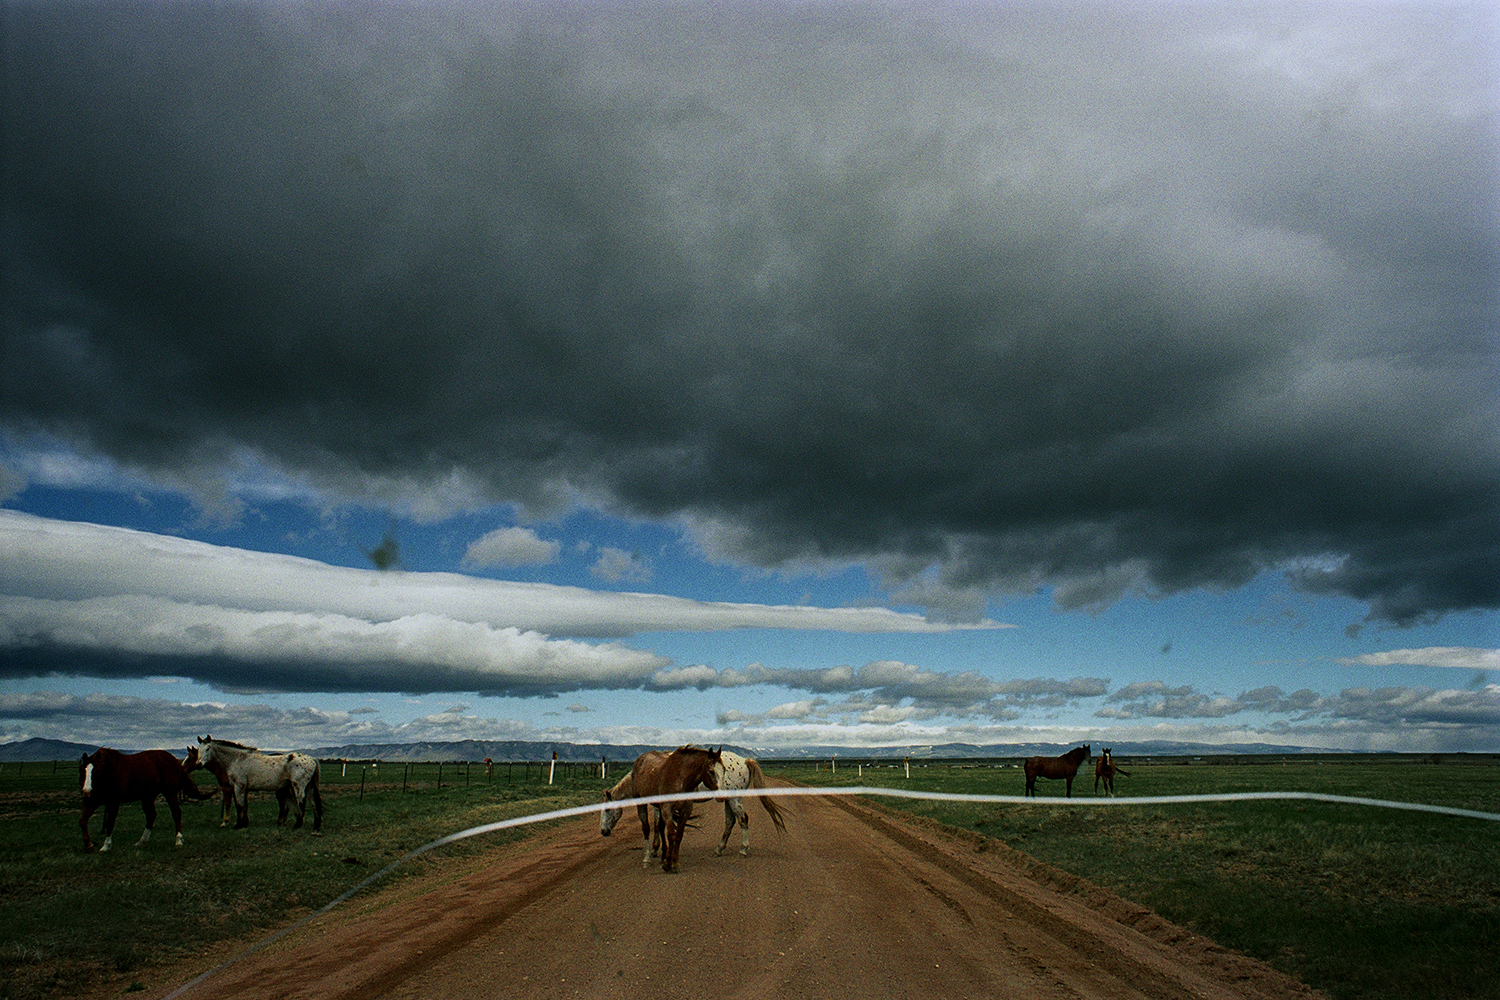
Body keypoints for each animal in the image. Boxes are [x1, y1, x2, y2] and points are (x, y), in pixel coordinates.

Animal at [77, 749, 213, 851]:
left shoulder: (114, 802)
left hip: (170, 793)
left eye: (96, 770)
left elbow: (110, 823)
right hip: (148, 797)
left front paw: (106, 846)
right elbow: (83, 821)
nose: (86, 791)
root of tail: (175, 761)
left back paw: (178, 840)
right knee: (151, 815)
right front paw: (88, 844)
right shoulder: (92, 801)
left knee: (176, 813)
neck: (108, 772)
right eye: (82, 770)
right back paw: (141, 841)